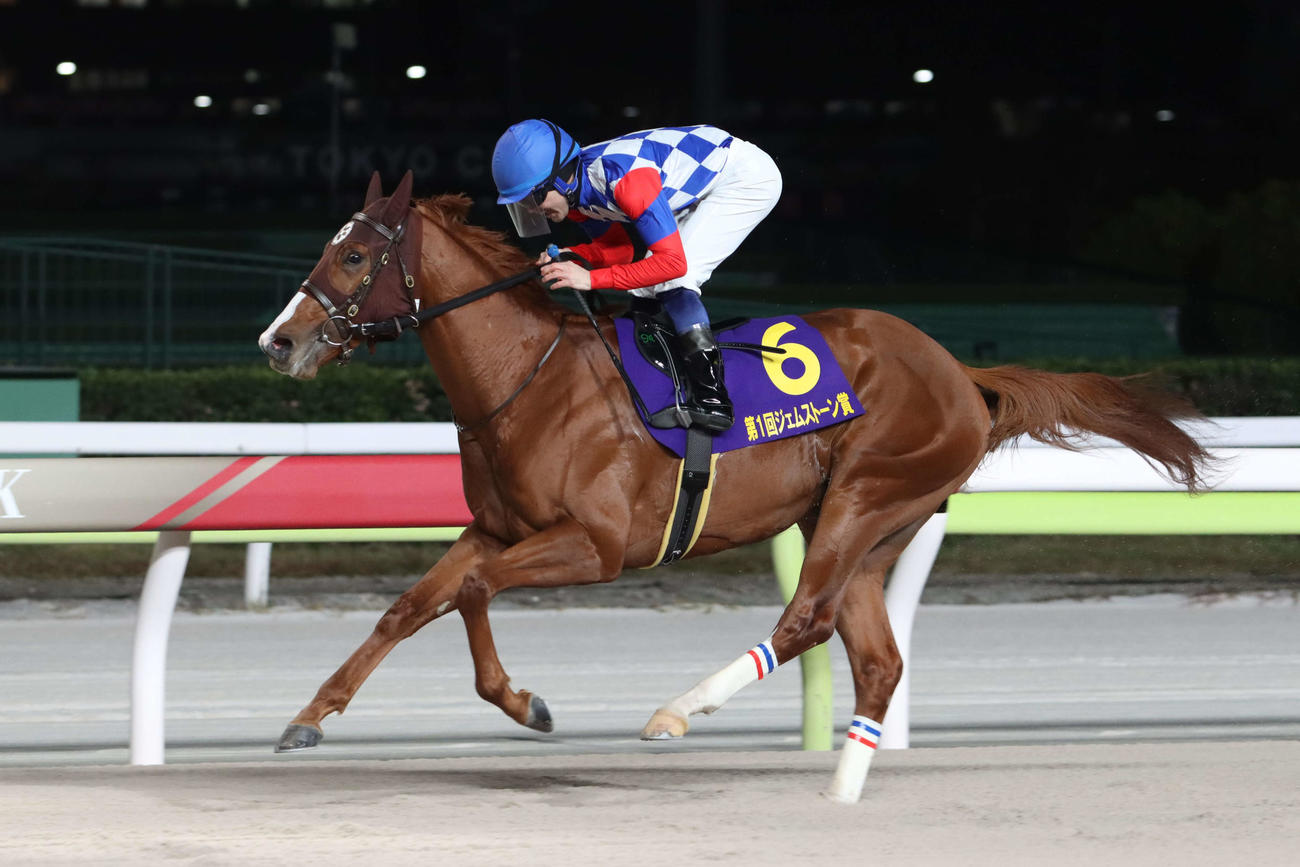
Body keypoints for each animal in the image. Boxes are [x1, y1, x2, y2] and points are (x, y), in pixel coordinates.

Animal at [258, 171, 1212, 803]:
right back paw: (842, 787)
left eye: (353, 255)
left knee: (805, 621)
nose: (279, 342)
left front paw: (526, 703)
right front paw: (309, 713)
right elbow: (409, 606)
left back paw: (676, 713)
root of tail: (958, 371)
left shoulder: (598, 545)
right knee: (875, 655)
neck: (529, 378)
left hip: (869, 491)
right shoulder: (495, 527)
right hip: (870, 526)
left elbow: (475, 595)